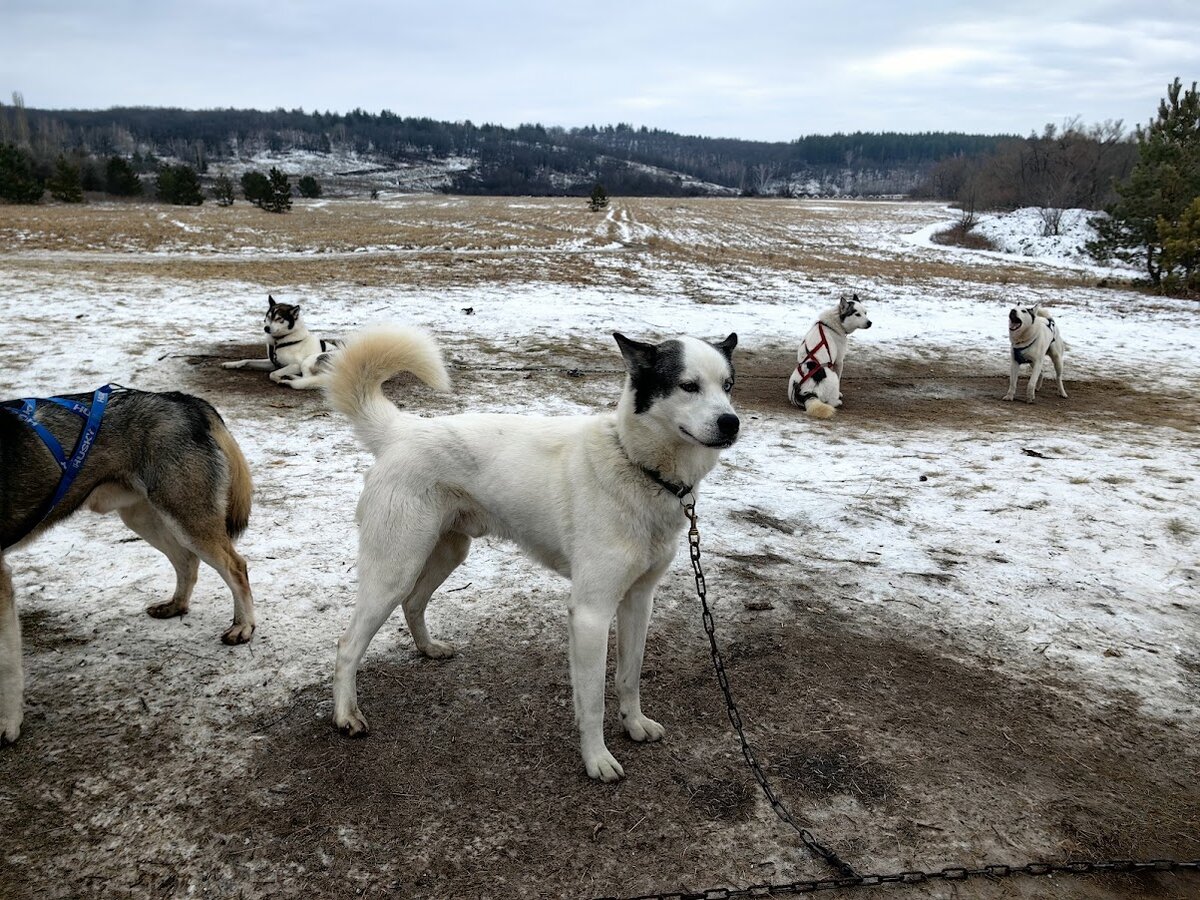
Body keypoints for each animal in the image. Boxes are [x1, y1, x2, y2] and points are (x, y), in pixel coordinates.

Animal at [1, 388, 255, 748]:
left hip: (186, 518)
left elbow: (7, 663)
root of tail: (183, 399)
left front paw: (7, 724)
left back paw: (243, 626)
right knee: (186, 561)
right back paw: (175, 605)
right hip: (143, 517)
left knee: (235, 566)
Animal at [328, 326, 739, 782]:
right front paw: (597, 759)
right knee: (348, 644)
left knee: (414, 602)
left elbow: (629, 677)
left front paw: (633, 724)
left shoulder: (638, 600)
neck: (637, 464)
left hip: (448, 552)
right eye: (688, 386)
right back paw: (346, 716)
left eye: (728, 386)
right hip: (394, 568)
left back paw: (429, 648)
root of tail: (403, 430)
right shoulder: (590, 613)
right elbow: (592, 701)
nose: (731, 422)